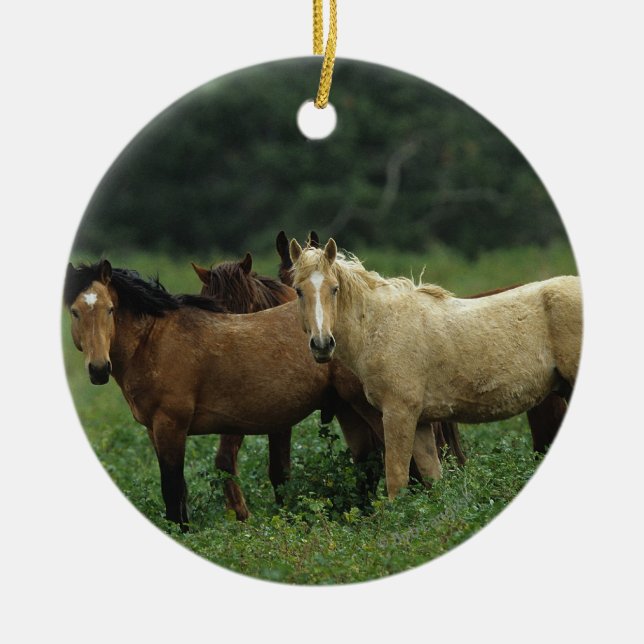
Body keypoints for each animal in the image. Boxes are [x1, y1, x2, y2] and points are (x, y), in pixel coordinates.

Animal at [288, 238, 582, 498]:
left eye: (334, 288)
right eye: (299, 290)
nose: (322, 344)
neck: (380, 326)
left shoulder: (398, 414)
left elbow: (396, 480)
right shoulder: (420, 423)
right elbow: (433, 480)